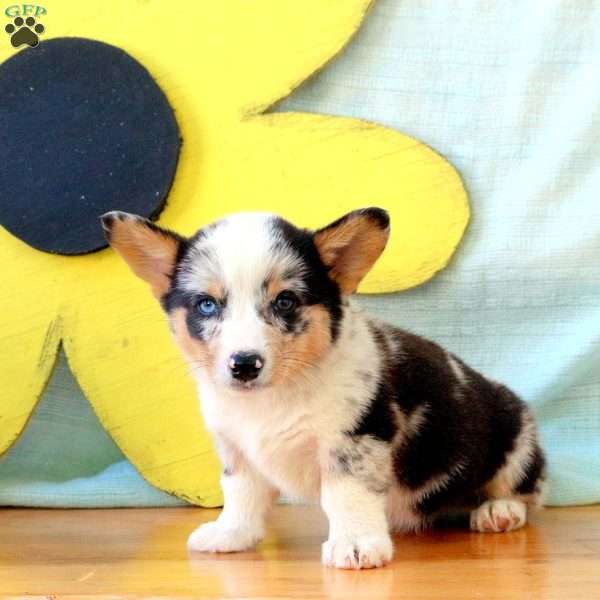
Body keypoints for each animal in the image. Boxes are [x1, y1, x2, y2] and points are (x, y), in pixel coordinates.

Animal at [102, 209, 544, 568]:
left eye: (285, 301)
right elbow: (241, 495)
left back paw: (498, 511)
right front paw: (231, 534)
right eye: (207, 305)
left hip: (516, 436)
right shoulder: (237, 451)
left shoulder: (354, 442)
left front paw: (356, 545)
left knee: (526, 490)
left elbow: (345, 496)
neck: (272, 398)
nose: (244, 365)